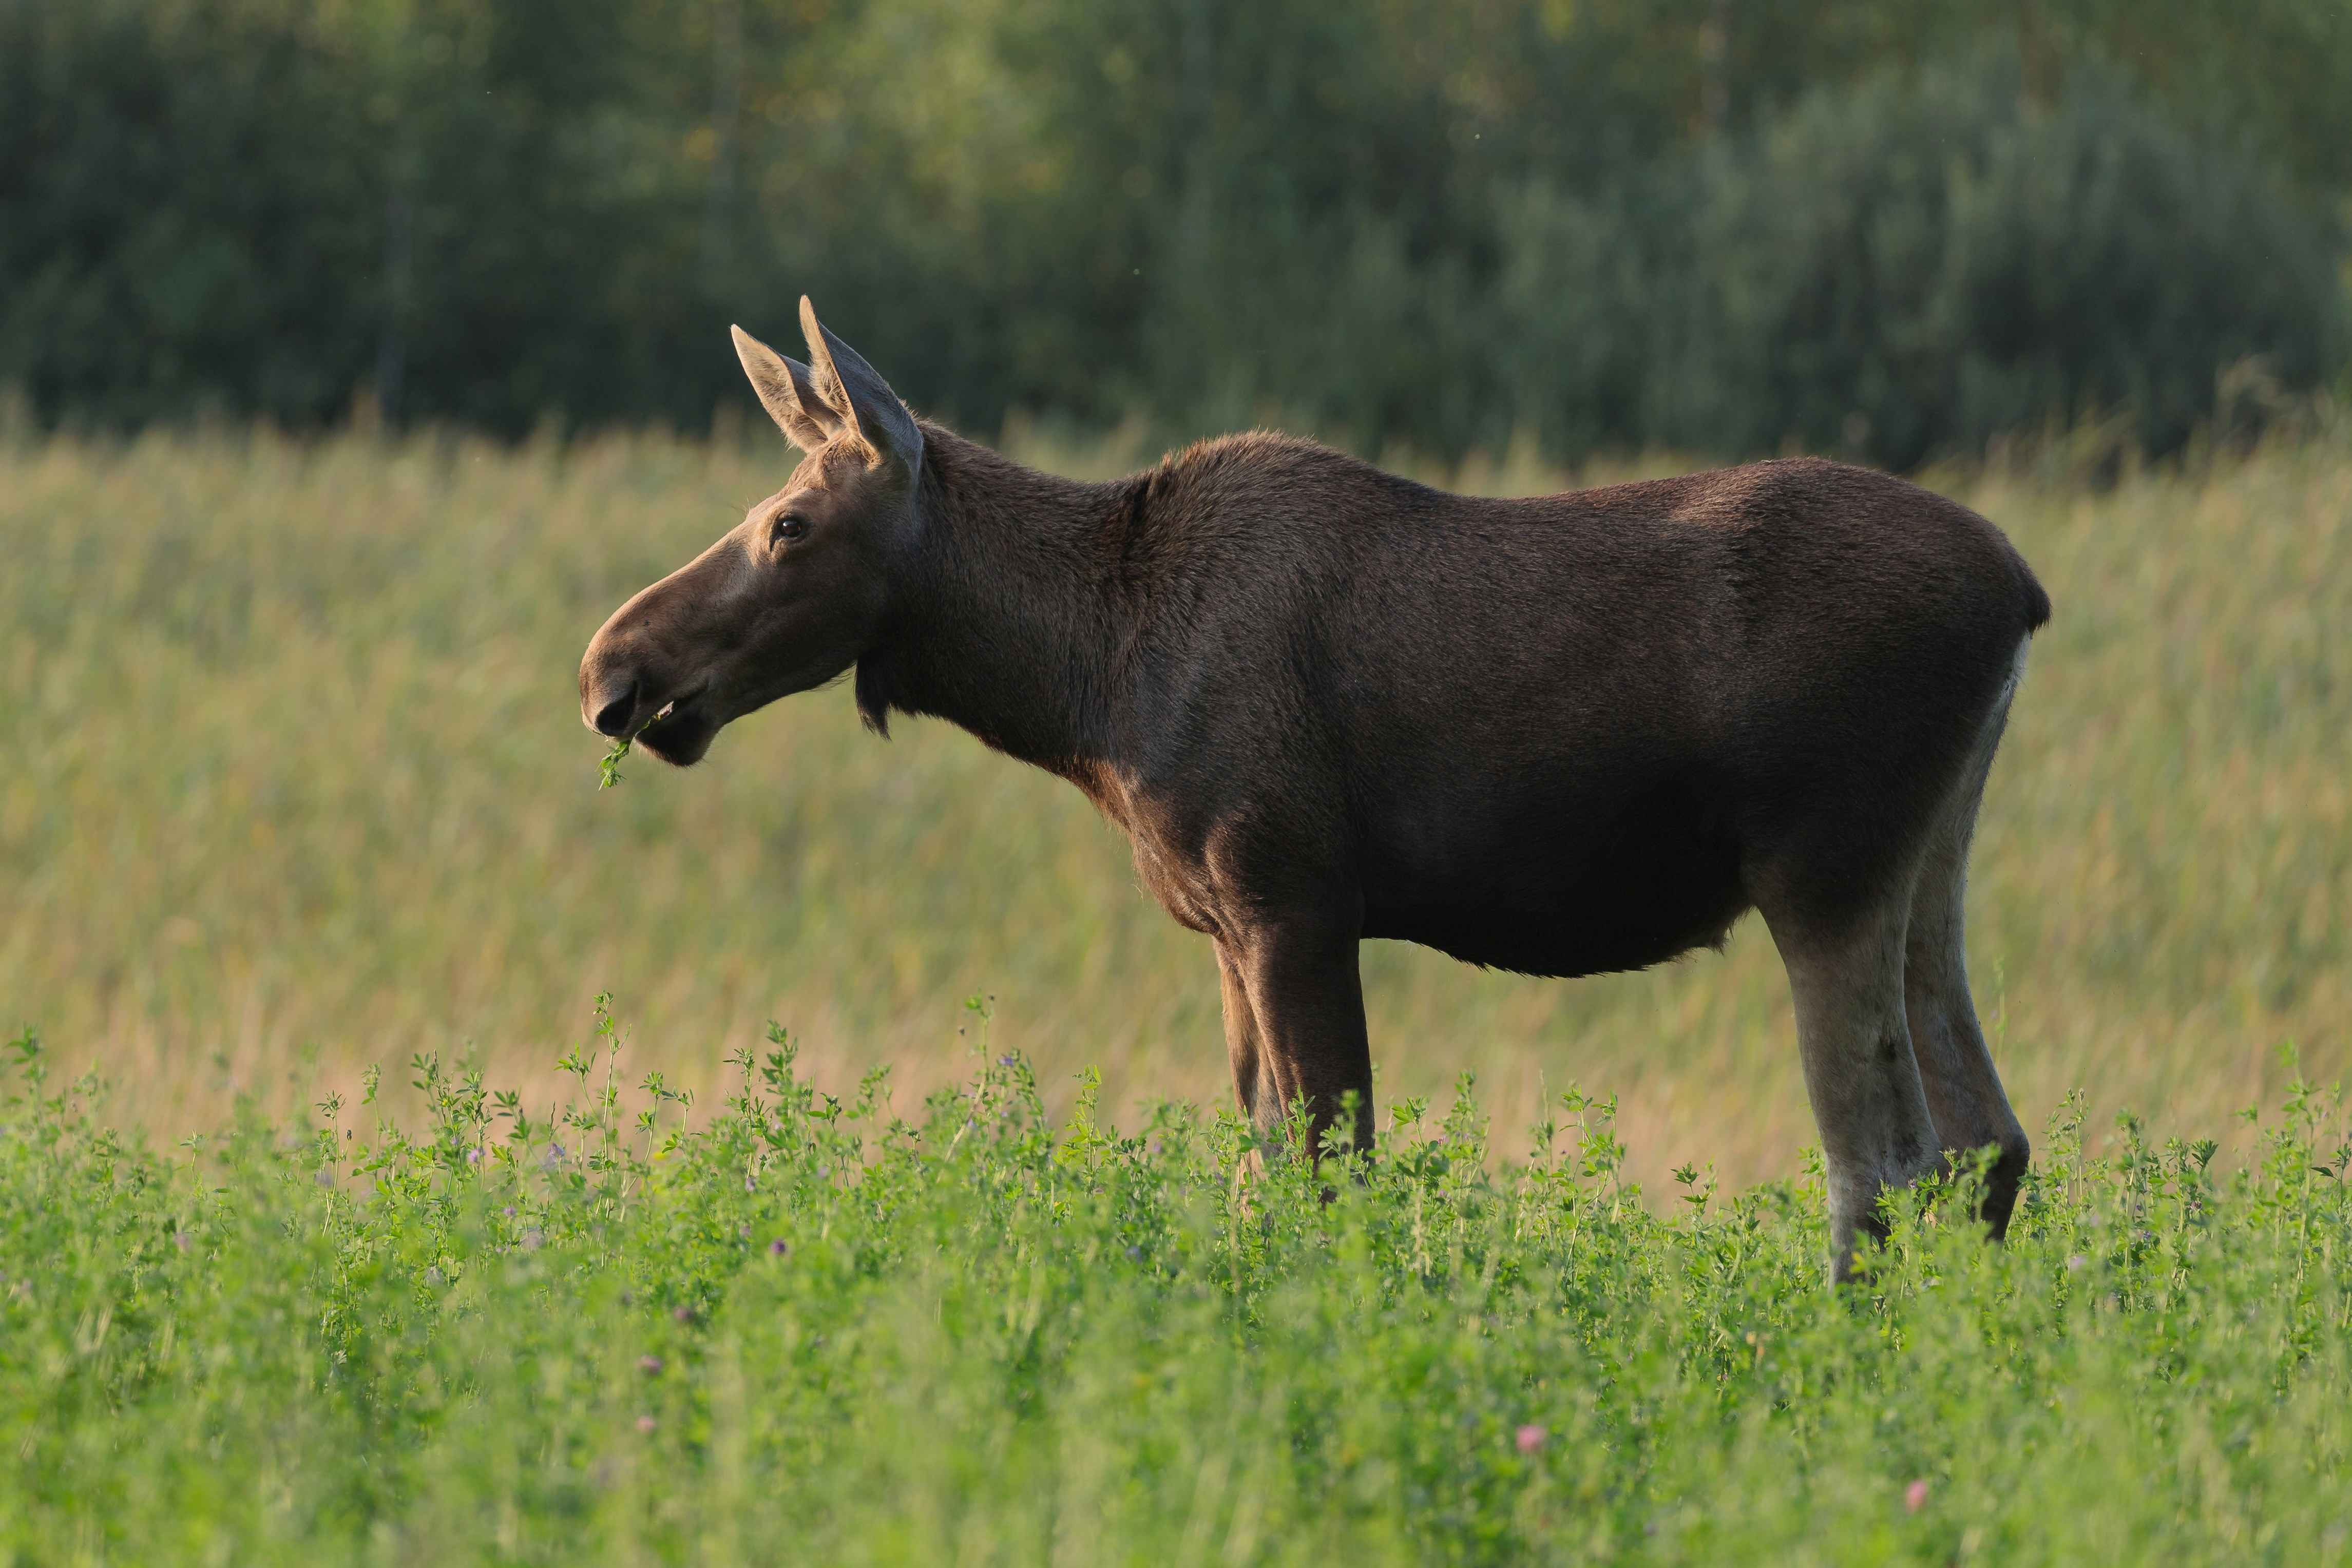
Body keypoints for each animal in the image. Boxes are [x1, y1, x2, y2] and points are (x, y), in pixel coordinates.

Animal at [578, 301, 2051, 1278]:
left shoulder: (1288, 896)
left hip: (1821, 868)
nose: (613, 667)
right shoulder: (1227, 928)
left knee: (1883, 1163)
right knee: (1987, 1141)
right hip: (1928, 861)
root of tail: (2024, 592)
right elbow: (1258, 1167)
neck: (1081, 682)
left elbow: (1324, 1169)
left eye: (788, 524)